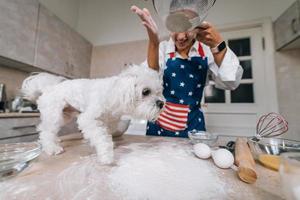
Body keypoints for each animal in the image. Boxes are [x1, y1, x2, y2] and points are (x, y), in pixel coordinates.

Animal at [21, 65, 164, 164]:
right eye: (145, 91)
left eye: (159, 92)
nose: (161, 103)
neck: (114, 93)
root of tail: (48, 88)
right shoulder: (88, 120)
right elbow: (101, 138)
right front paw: (106, 155)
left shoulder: (107, 122)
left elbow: (105, 135)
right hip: (54, 114)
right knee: (45, 131)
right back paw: (52, 148)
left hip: (64, 116)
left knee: (51, 131)